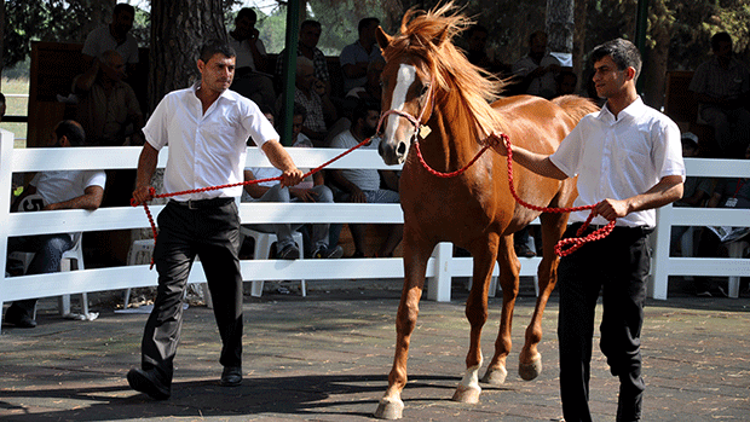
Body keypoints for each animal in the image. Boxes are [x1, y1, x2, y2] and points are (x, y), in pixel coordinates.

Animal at [374, 2, 600, 418]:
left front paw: (468, 383)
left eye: (422, 86)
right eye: (383, 81)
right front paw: (392, 393)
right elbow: (407, 313)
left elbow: (476, 308)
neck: (452, 165)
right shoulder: (417, 240)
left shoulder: (485, 243)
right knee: (512, 280)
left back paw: (528, 357)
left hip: (553, 219)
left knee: (546, 276)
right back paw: (497, 363)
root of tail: (560, 109)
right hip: (511, 231)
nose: (391, 148)